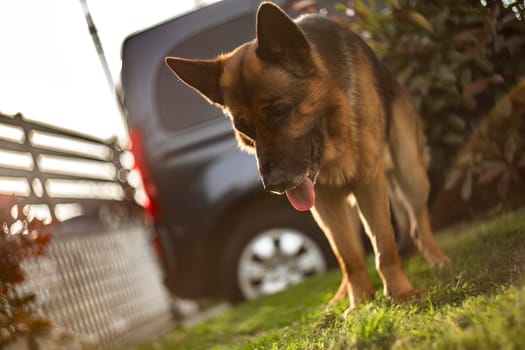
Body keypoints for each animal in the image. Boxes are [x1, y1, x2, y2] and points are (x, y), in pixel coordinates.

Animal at [166, 0, 448, 314]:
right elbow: (348, 257)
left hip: (411, 175)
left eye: (278, 111)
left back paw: (437, 259)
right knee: (350, 251)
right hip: (334, 208)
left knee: (417, 224)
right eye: (244, 129)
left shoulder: (368, 183)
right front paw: (360, 303)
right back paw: (341, 297)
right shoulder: (324, 199)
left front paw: (400, 293)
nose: (273, 184)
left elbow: (384, 246)